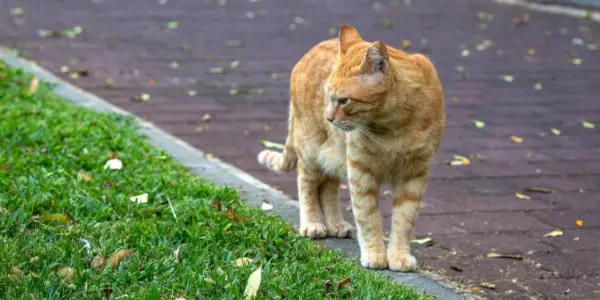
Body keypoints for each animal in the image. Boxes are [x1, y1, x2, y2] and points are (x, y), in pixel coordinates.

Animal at [258, 24, 446, 270]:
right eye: (328, 96)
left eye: (343, 100)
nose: (328, 118)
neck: (395, 126)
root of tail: (309, 52)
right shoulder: (361, 171)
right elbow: (368, 217)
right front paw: (375, 254)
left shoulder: (414, 176)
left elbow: (404, 220)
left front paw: (399, 256)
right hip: (310, 151)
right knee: (307, 186)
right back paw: (313, 224)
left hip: (334, 157)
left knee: (327, 189)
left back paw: (335, 224)